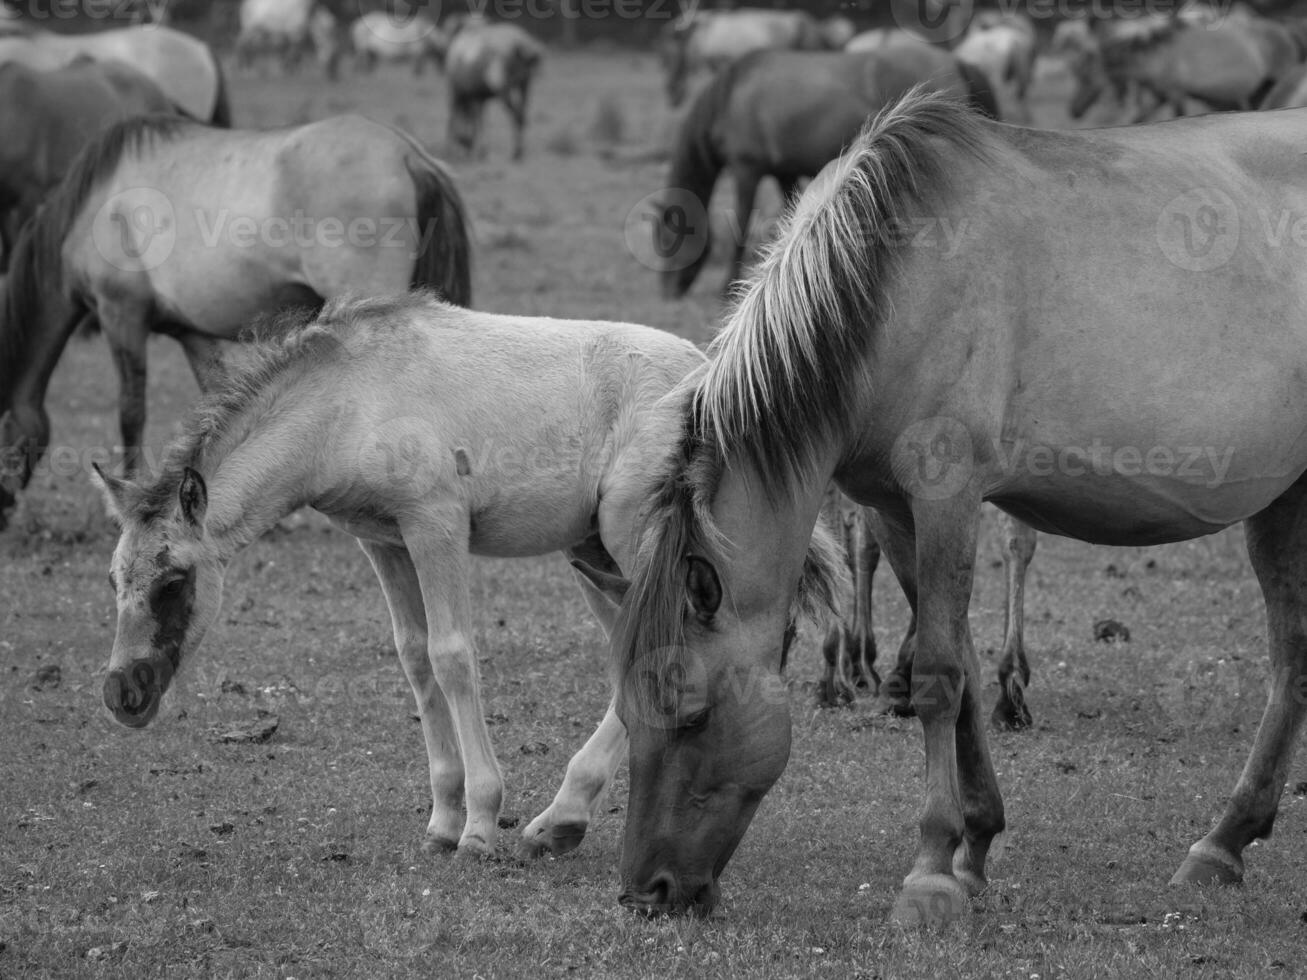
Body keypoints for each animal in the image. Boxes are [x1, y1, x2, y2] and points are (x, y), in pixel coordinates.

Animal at [609, 92, 1307, 930]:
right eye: (626, 714)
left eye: (692, 714)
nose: (645, 892)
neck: (889, 286)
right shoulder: (892, 511)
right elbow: (965, 670)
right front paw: (975, 846)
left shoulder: (946, 492)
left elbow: (939, 674)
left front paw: (931, 869)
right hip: (1281, 502)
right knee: (1292, 659)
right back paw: (1223, 843)